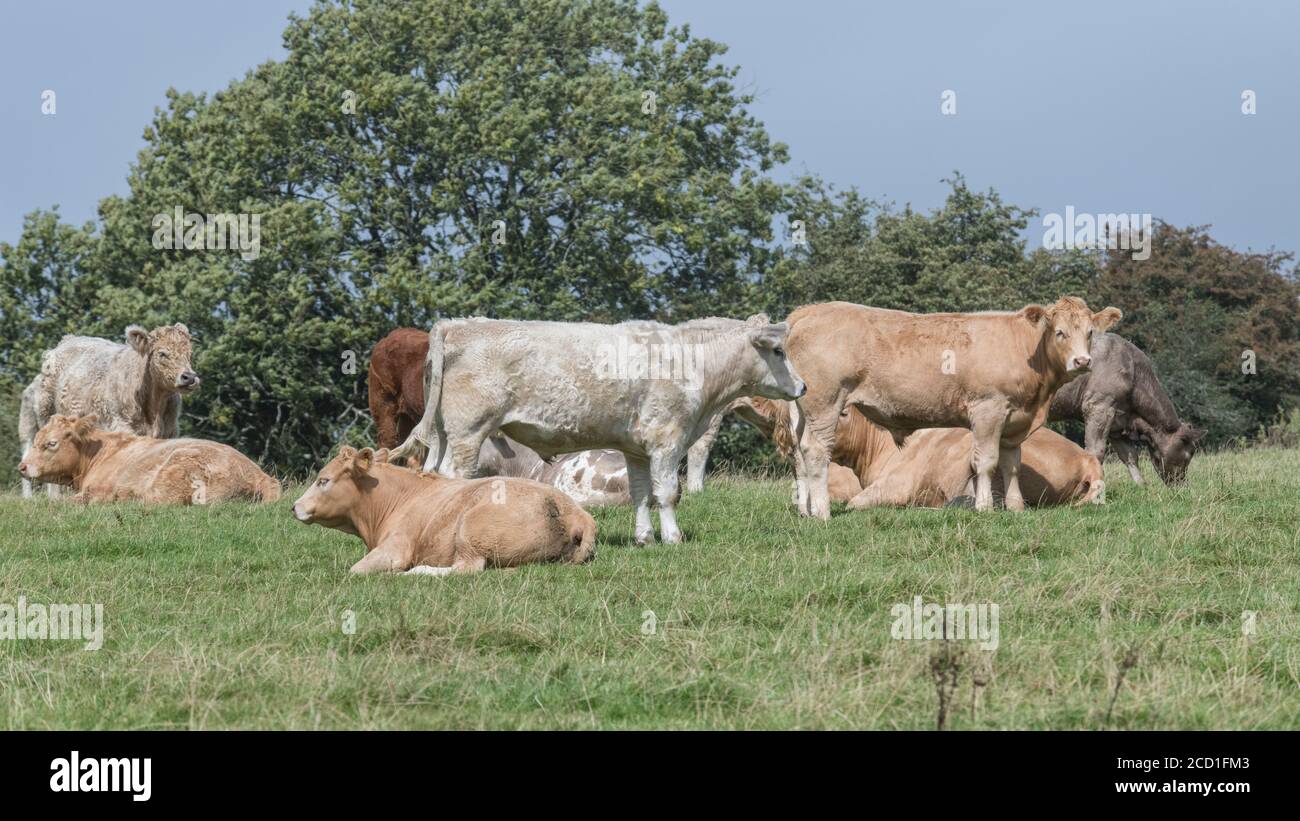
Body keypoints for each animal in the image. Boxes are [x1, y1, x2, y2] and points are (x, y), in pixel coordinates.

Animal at [19, 323, 199, 498]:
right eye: (162, 353)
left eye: (189, 354)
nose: (189, 377)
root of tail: (68, 339)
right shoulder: (121, 426)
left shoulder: (169, 432)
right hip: (43, 414)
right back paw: (53, 497)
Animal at [292, 446, 596, 575]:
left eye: (324, 480)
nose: (294, 507)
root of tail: (576, 512)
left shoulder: (394, 549)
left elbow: (355, 570)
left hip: (470, 531)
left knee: (467, 569)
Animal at [388, 314, 805, 544]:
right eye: (779, 351)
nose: (803, 386)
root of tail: (458, 325)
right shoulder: (668, 440)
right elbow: (668, 493)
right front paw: (673, 538)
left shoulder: (636, 448)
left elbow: (641, 494)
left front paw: (645, 538)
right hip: (468, 432)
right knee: (453, 477)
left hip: (443, 433)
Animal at [785, 297, 1121, 517]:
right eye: (1059, 332)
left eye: (1090, 333)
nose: (1082, 361)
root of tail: (810, 311)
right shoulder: (988, 410)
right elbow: (986, 461)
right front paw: (985, 508)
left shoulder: (1016, 421)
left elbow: (1011, 464)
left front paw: (1016, 507)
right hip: (825, 402)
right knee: (816, 451)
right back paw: (823, 512)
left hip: (802, 410)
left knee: (799, 453)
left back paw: (805, 511)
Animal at [1048, 333, 1204, 484]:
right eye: (1190, 453)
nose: (1182, 485)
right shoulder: (1099, 406)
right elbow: (1096, 451)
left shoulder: (1117, 422)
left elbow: (1130, 456)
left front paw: (1141, 485)